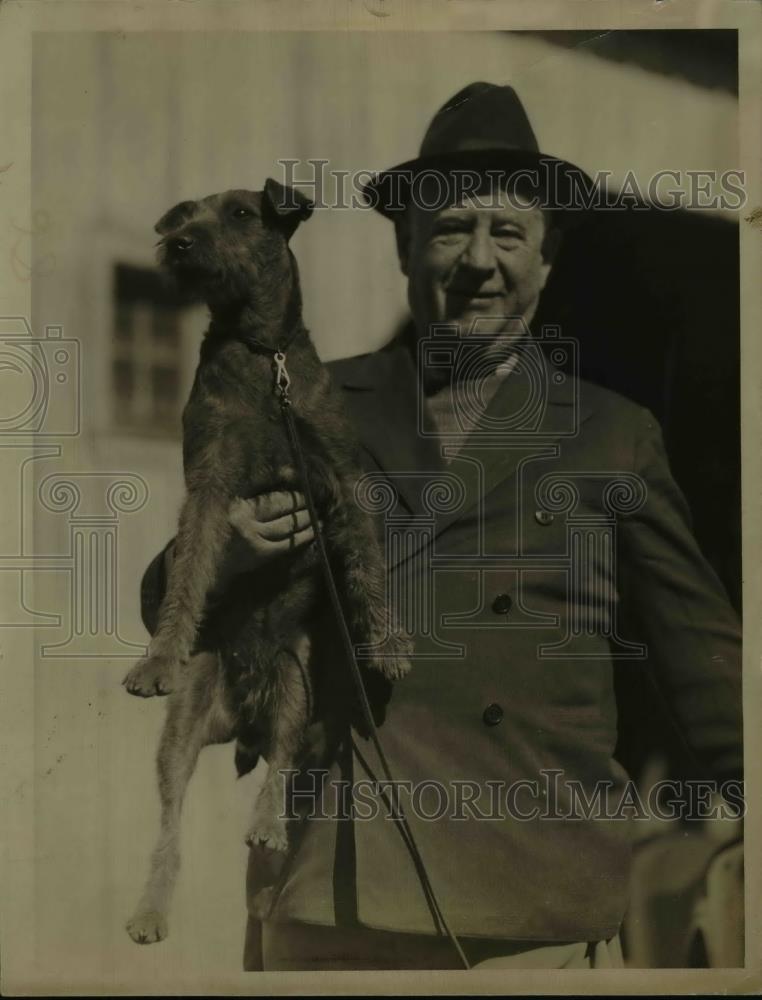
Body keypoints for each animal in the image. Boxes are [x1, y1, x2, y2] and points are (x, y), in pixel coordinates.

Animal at [123, 182, 410, 944]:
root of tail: (244, 718)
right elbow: (188, 572)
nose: (179, 243)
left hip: (298, 686)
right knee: (169, 825)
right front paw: (157, 656)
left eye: (242, 215)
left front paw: (387, 641)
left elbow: (367, 566)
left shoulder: (340, 476)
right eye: (187, 215)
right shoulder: (212, 483)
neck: (263, 353)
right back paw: (150, 909)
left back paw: (269, 826)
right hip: (185, 726)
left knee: (279, 763)